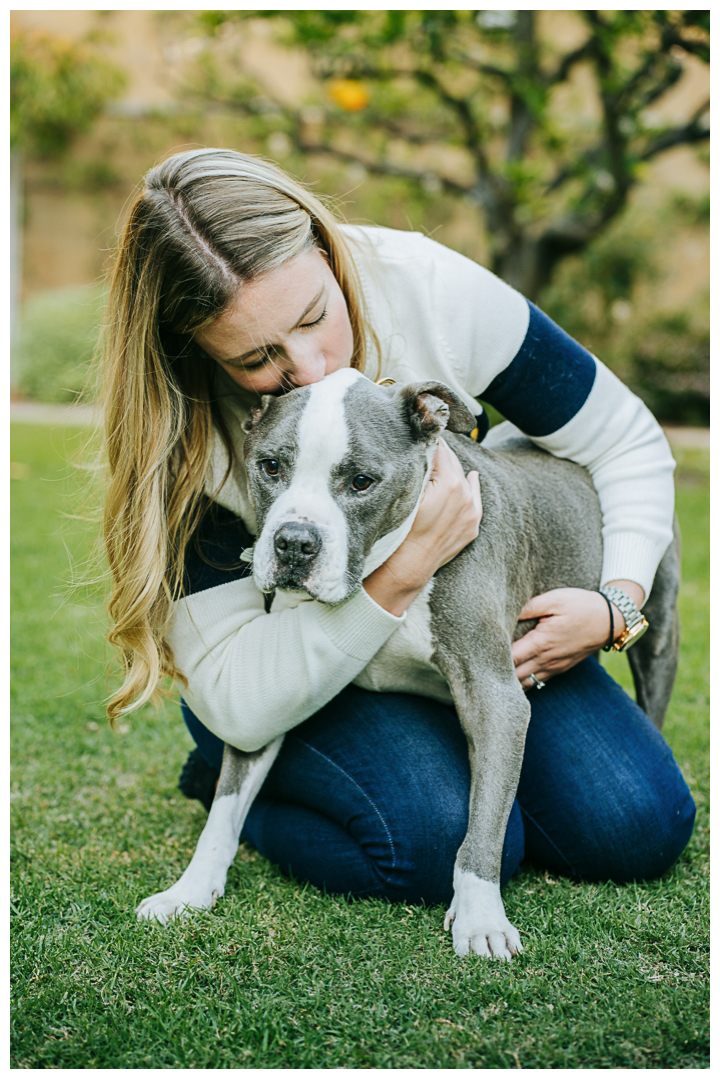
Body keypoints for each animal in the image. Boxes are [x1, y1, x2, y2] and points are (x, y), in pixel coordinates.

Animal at [136, 367, 682, 959]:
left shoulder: (495, 697)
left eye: (361, 481)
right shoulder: (265, 696)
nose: (294, 543)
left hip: (659, 630)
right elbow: (226, 807)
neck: (376, 571)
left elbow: (484, 823)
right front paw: (188, 891)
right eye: (271, 466)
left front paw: (481, 917)